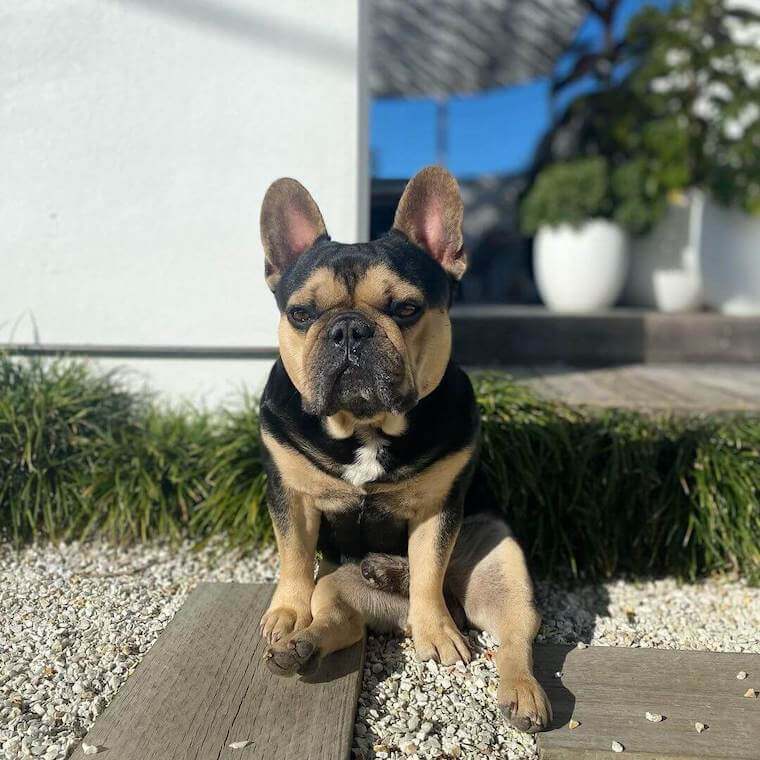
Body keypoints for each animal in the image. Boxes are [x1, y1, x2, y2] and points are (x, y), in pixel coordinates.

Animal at [258, 165, 548, 732]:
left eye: (407, 308)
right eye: (302, 313)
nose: (349, 329)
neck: (366, 426)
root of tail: (395, 617)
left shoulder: (438, 509)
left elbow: (431, 566)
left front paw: (436, 630)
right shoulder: (291, 495)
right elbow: (295, 555)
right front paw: (287, 612)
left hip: (500, 564)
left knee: (511, 631)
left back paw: (519, 691)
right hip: (341, 586)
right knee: (340, 620)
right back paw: (304, 642)